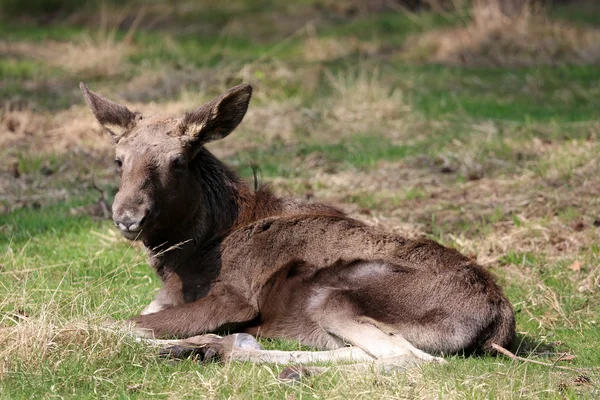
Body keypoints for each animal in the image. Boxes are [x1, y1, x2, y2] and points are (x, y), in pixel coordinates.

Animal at [81, 83, 516, 370]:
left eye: (179, 161)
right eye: (119, 160)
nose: (128, 217)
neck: (187, 257)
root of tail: (500, 320)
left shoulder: (235, 298)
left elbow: (113, 324)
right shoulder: (166, 298)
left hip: (334, 294)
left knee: (411, 359)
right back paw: (214, 347)